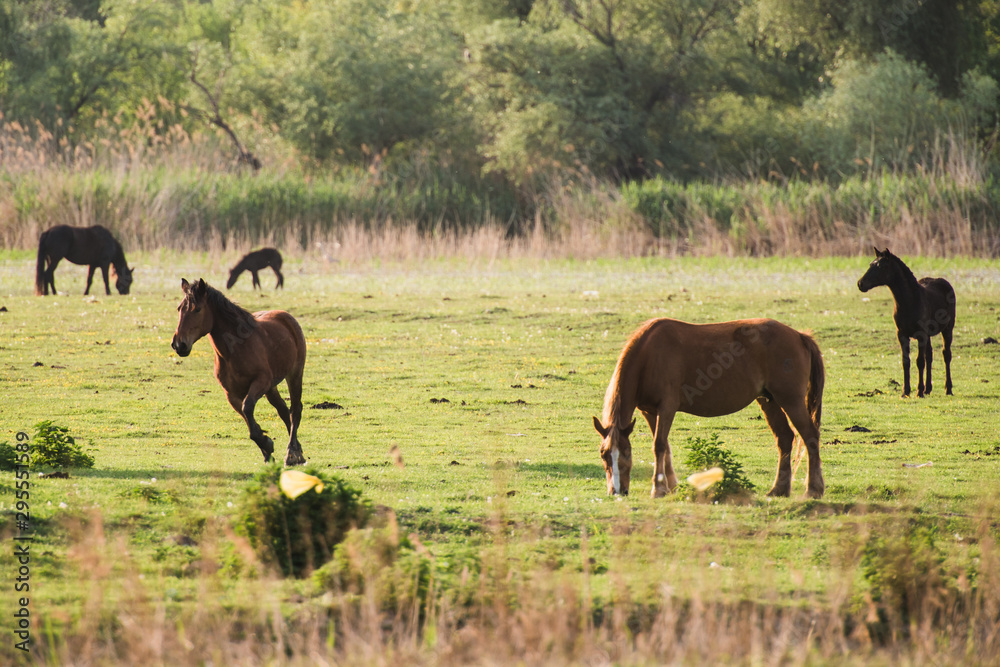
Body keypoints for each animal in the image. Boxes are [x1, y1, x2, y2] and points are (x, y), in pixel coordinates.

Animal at [171, 278, 307, 466]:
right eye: (179, 309)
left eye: (197, 309)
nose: (179, 345)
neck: (234, 351)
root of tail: (286, 317)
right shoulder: (232, 394)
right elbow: (246, 418)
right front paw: (266, 449)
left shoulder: (260, 382)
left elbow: (247, 408)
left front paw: (267, 443)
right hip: (271, 388)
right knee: (283, 410)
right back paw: (297, 450)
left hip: (294, 374)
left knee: (295, 410)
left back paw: (293, 453)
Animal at [593, 318, 825, 499]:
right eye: (604, 455)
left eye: (626, 453)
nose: (616, 491)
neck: (649, 356)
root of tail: (799, 336)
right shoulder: (650, 411)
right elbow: (664, 446)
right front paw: (671, 486)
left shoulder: (666, 408)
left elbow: (658, 445)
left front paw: (658, 489)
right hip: (770, 401)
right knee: (785, 438)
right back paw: (779, 490)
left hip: (790, 400)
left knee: (809, 436)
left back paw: (814, 489)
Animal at [857, 248, 955, 398]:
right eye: (870, 264)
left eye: (880, 266)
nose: (860, 284)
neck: (910, 301)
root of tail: (945, 283)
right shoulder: (902, 334)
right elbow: (906, 362)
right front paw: (906, 392)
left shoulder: (921, 335)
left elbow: (919, 362)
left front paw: (918, 391)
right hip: (928, 335)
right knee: (929, 356)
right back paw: (928, 389)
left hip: (947, 329)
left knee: (946, 355)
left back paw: (948, 389)